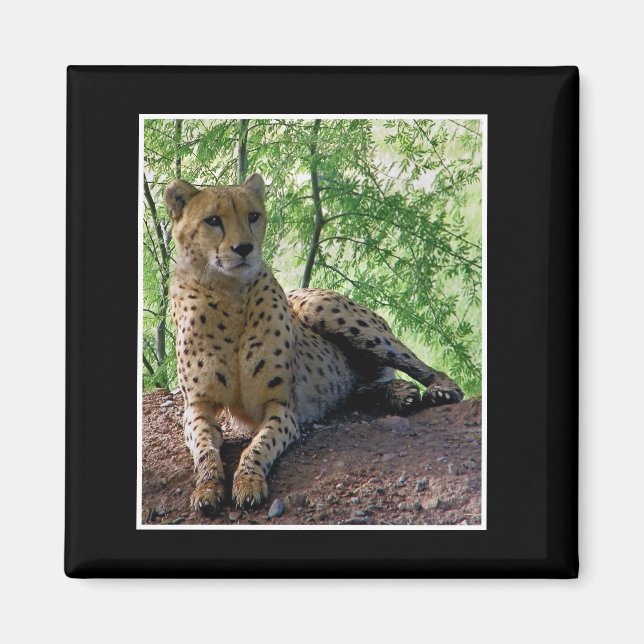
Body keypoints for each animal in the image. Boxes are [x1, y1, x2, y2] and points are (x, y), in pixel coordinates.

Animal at [164, 172, 464, 516]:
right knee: (359, 385)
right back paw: (400, 393)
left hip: (327, 312)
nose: (244, 248)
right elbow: (204, 449)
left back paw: (438, 388)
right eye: (213, 220)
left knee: (412, 364)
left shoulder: (281, 406)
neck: (229, 293)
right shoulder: (197, 406)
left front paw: (248, 481)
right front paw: (208, 487)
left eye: (253, 216)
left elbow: (258, 447)